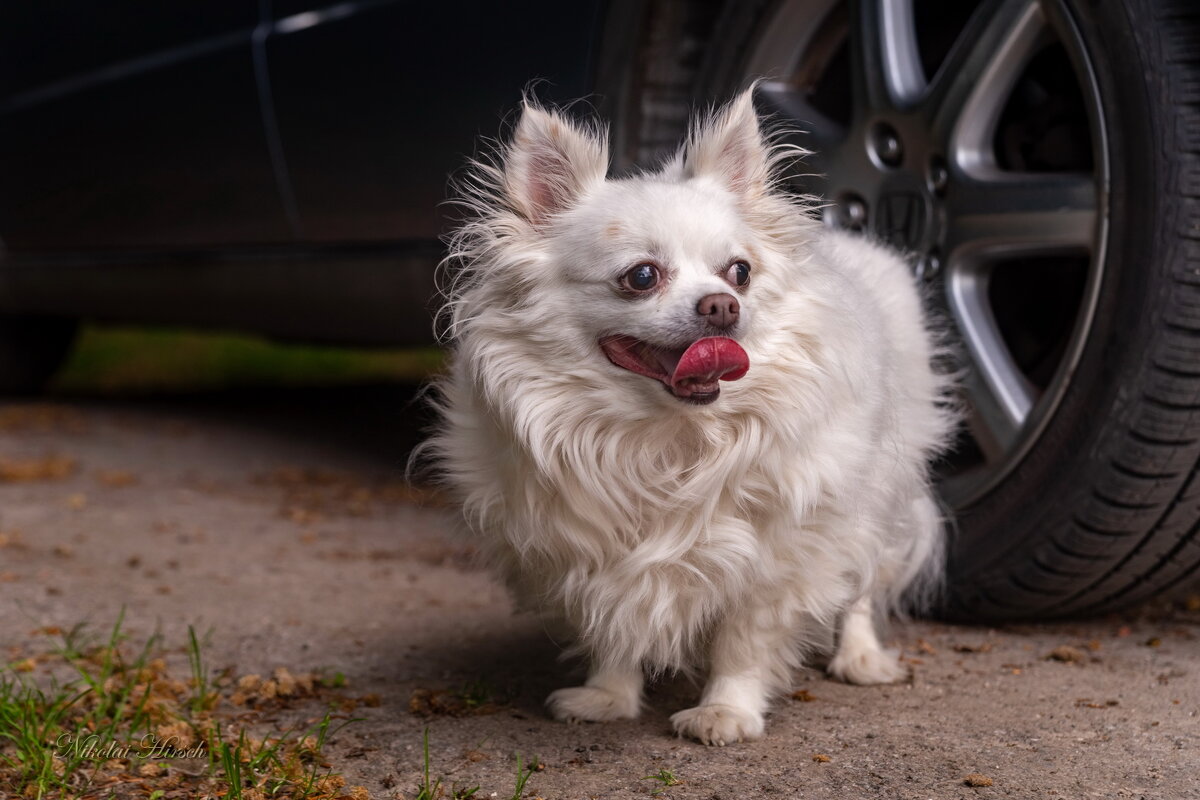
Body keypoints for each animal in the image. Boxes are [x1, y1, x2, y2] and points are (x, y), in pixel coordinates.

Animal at [427, 90, 960, 748]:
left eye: (740, 272)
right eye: (641, 276)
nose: (722, 305)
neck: (668, 441)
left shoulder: (777, 554)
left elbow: (745, 638)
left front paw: (726, 710)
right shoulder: (590, 547)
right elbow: (614, 620)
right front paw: (608, 695)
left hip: (877, 493)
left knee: (861, 579)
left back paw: (859, 657)